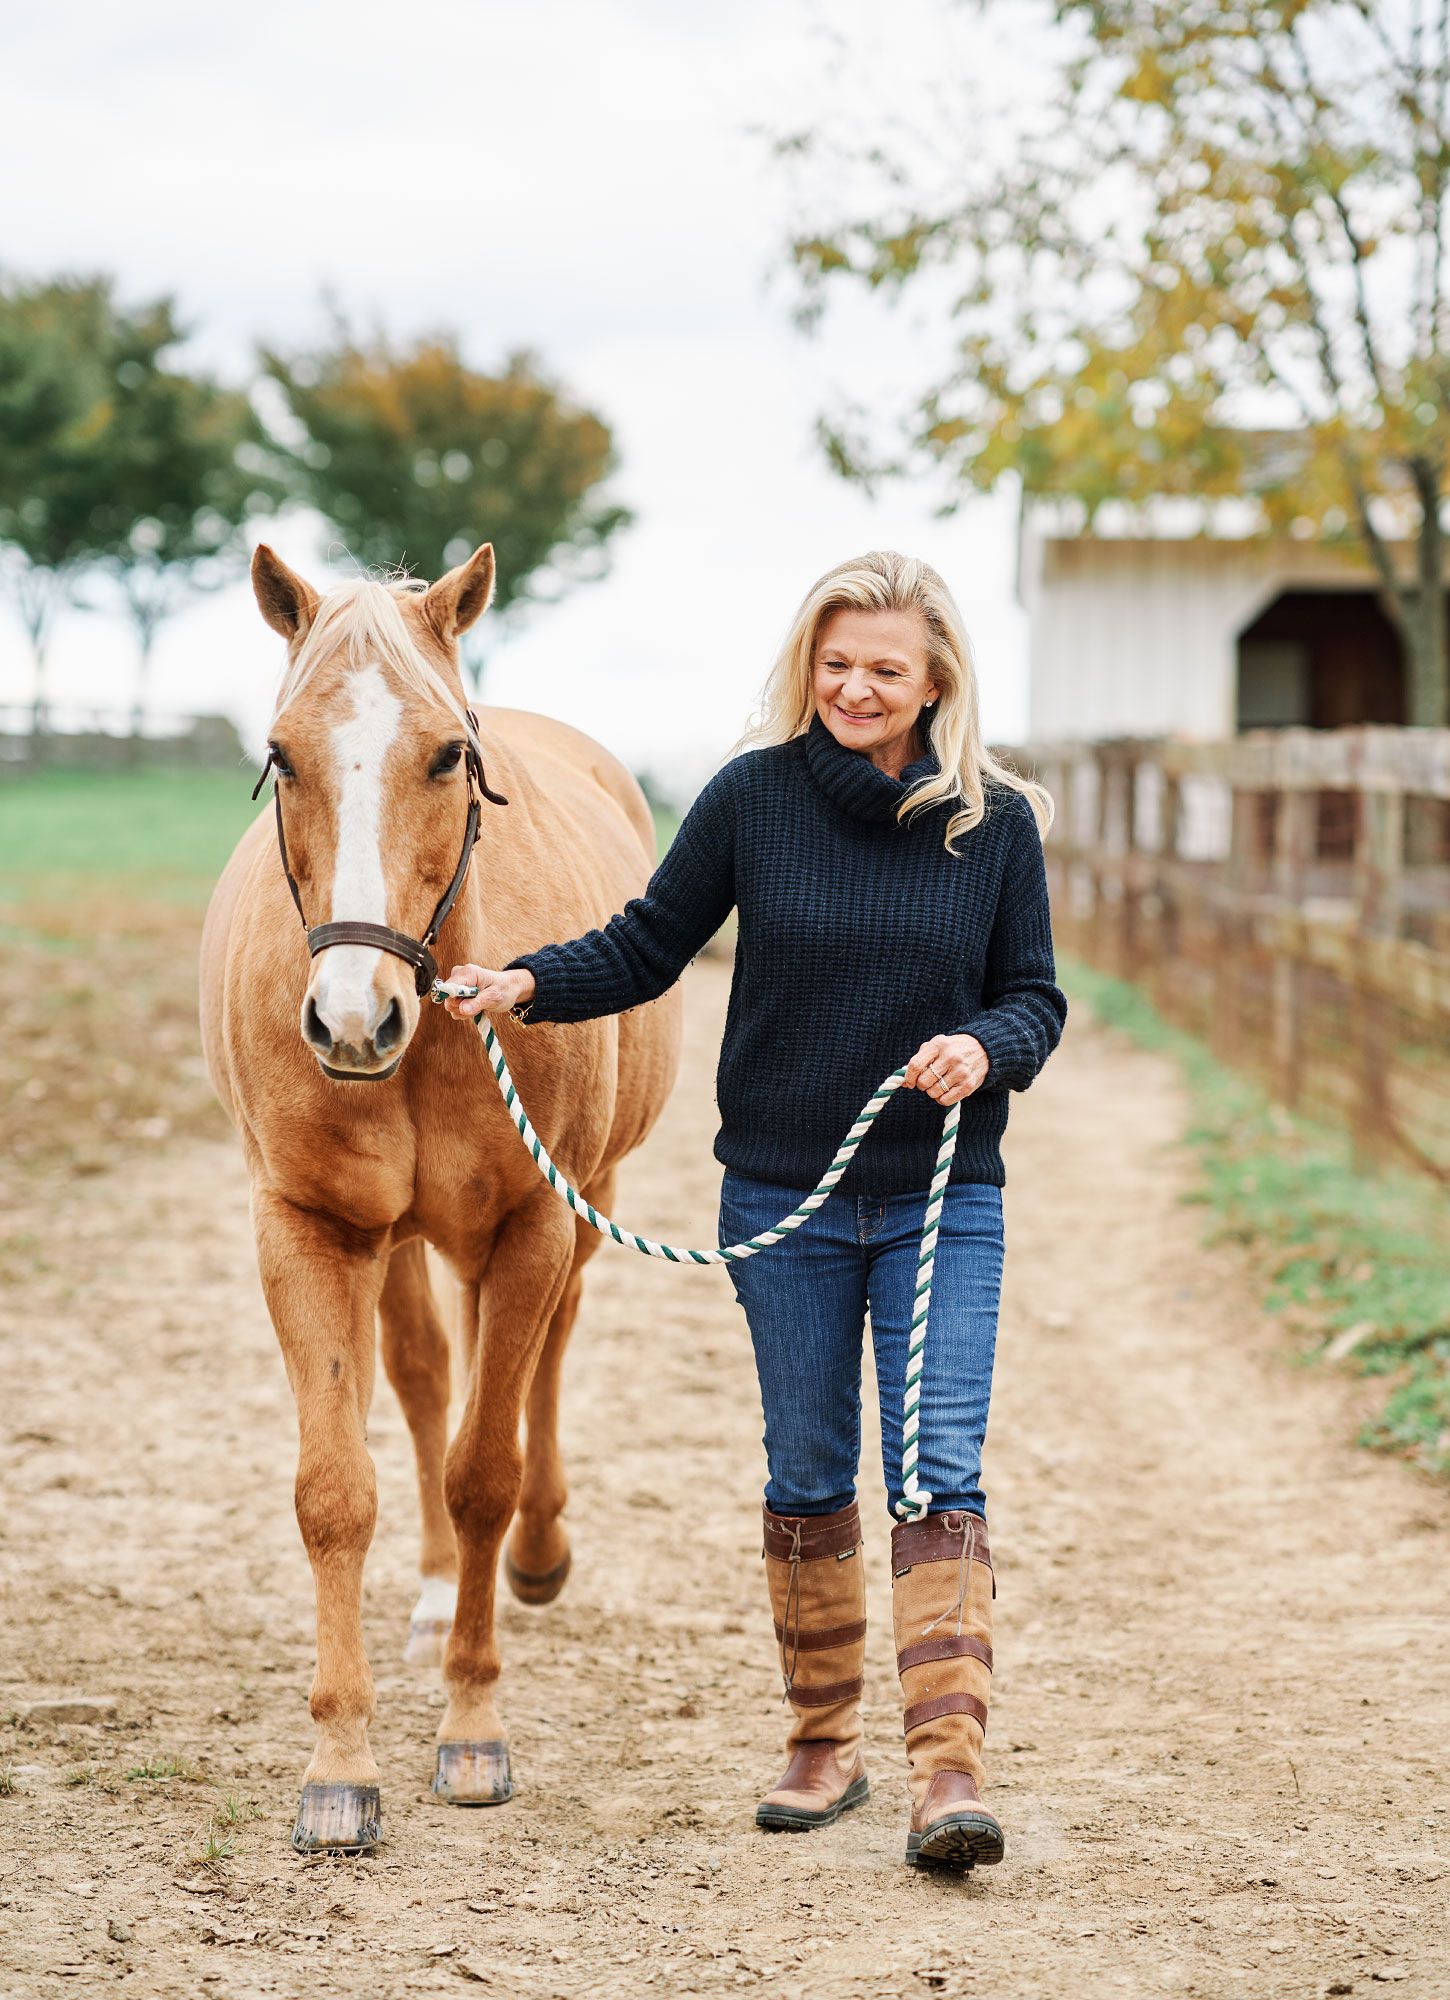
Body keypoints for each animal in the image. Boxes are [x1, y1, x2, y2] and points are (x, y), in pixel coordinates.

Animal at [199, 542, 682, 1854]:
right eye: (279, 755)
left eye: (447, 755)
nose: (350, 1019)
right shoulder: (309, 1231)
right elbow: (335, 1489)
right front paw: (340, 1762)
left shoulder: (533, 1222)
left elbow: (484, 1472)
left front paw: (471, 1728)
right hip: (401, 1240)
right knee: (424, 1378)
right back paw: (422, 1598)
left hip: (577, 1204)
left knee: (540, 1360)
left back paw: (537, 1557)